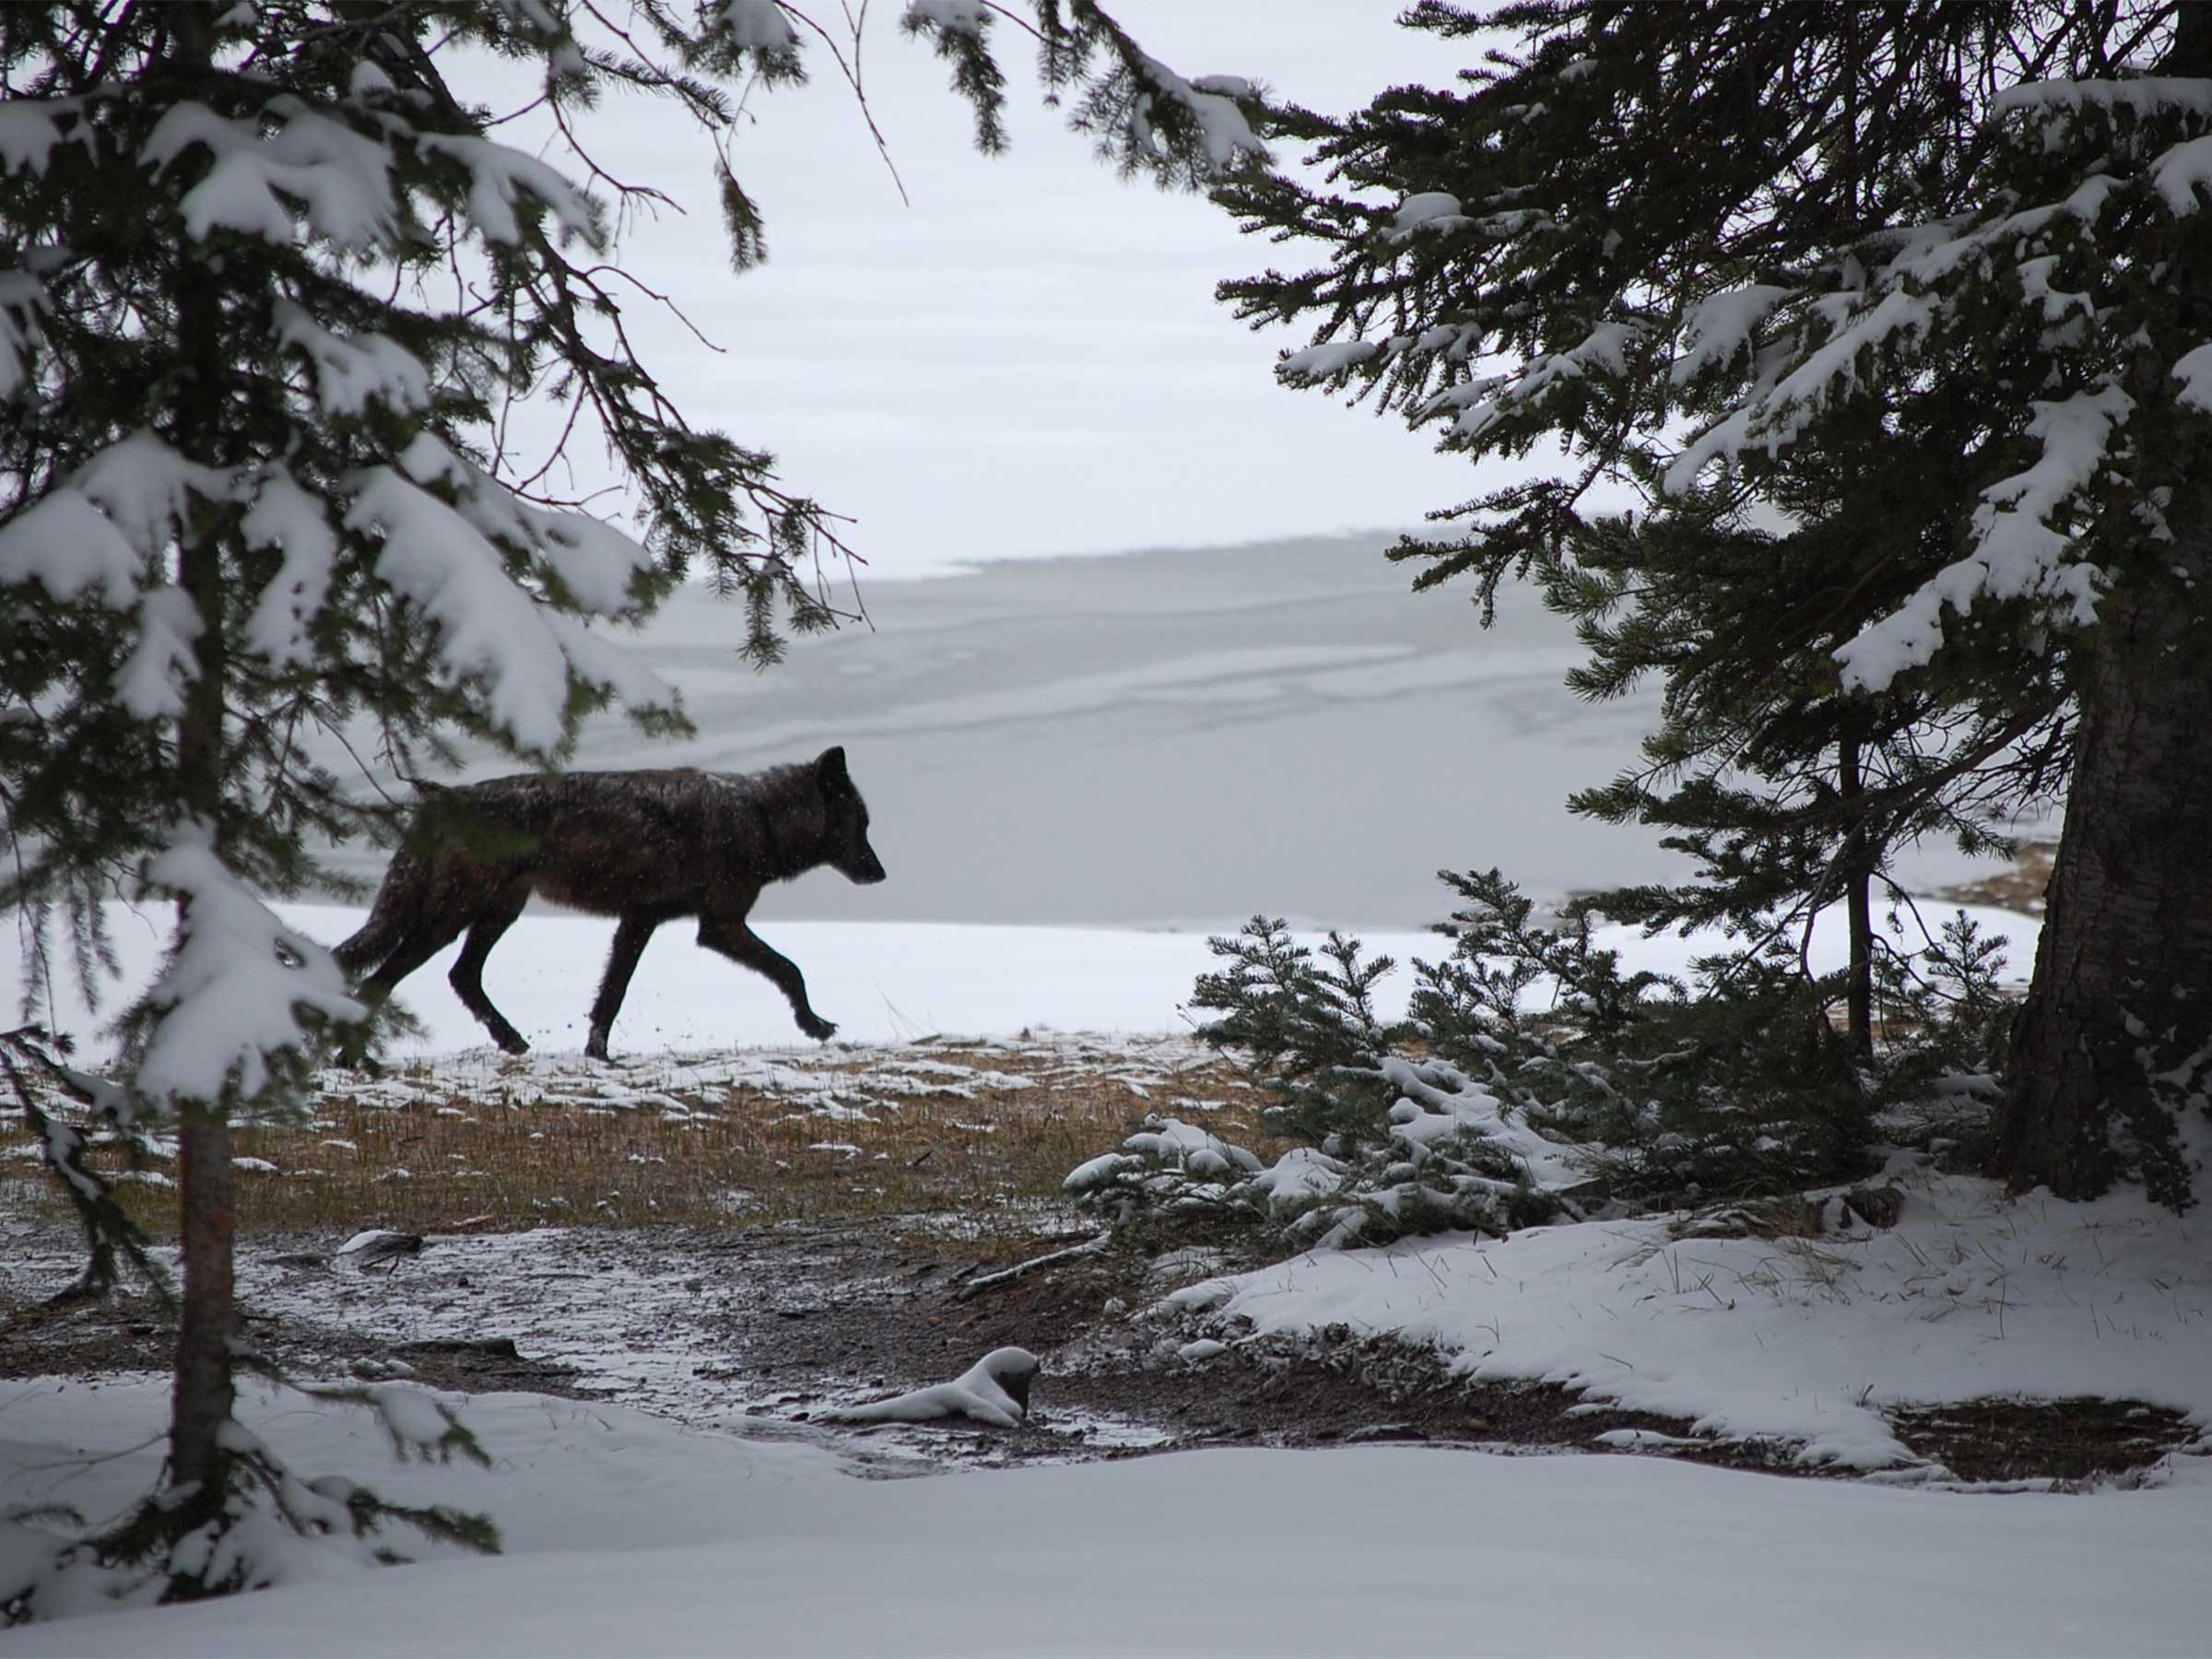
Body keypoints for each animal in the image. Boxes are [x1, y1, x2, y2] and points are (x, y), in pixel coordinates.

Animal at [333, 748, 886, 1061]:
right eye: (861, 825)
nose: (881, 873)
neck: (758, 817)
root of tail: (444, 798)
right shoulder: (720, 926)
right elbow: (790, 968)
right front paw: (813, 1024)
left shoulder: (638, 922)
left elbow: (611, 996)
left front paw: (598, 1056)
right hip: (449, 920)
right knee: (379, 981)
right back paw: (350, 1061)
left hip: (497, 913)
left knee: (460, 975)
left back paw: (510, 1042)